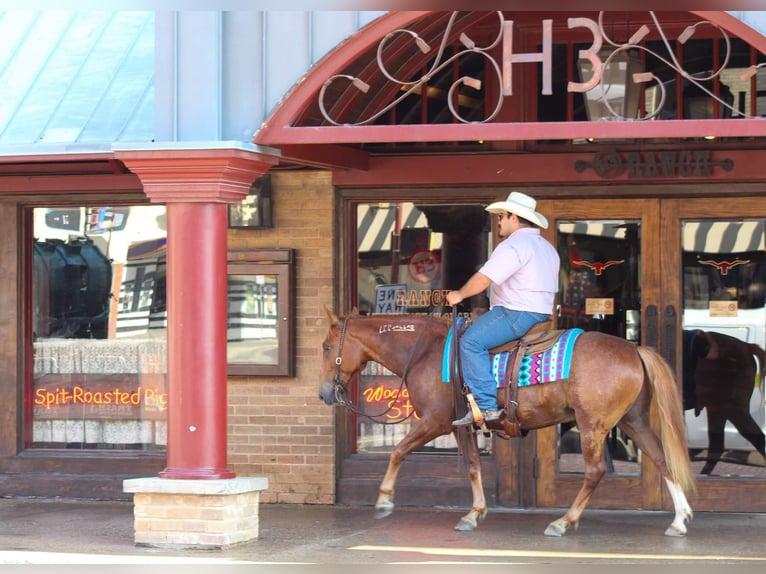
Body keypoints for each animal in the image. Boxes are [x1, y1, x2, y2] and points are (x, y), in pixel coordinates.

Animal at [318, 310, 696, 540]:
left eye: (326, 346)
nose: (324, 393)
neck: (425, 351)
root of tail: (635, 350)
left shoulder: (436, 421)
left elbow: (398, 451)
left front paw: (383, 501)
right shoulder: (462, 426)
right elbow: (472, 467)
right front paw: (474, 513)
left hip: (593, 424)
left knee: (595, 471)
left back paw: (564, 521)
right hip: (634, 420)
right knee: (661, 459)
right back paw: (679, 520)